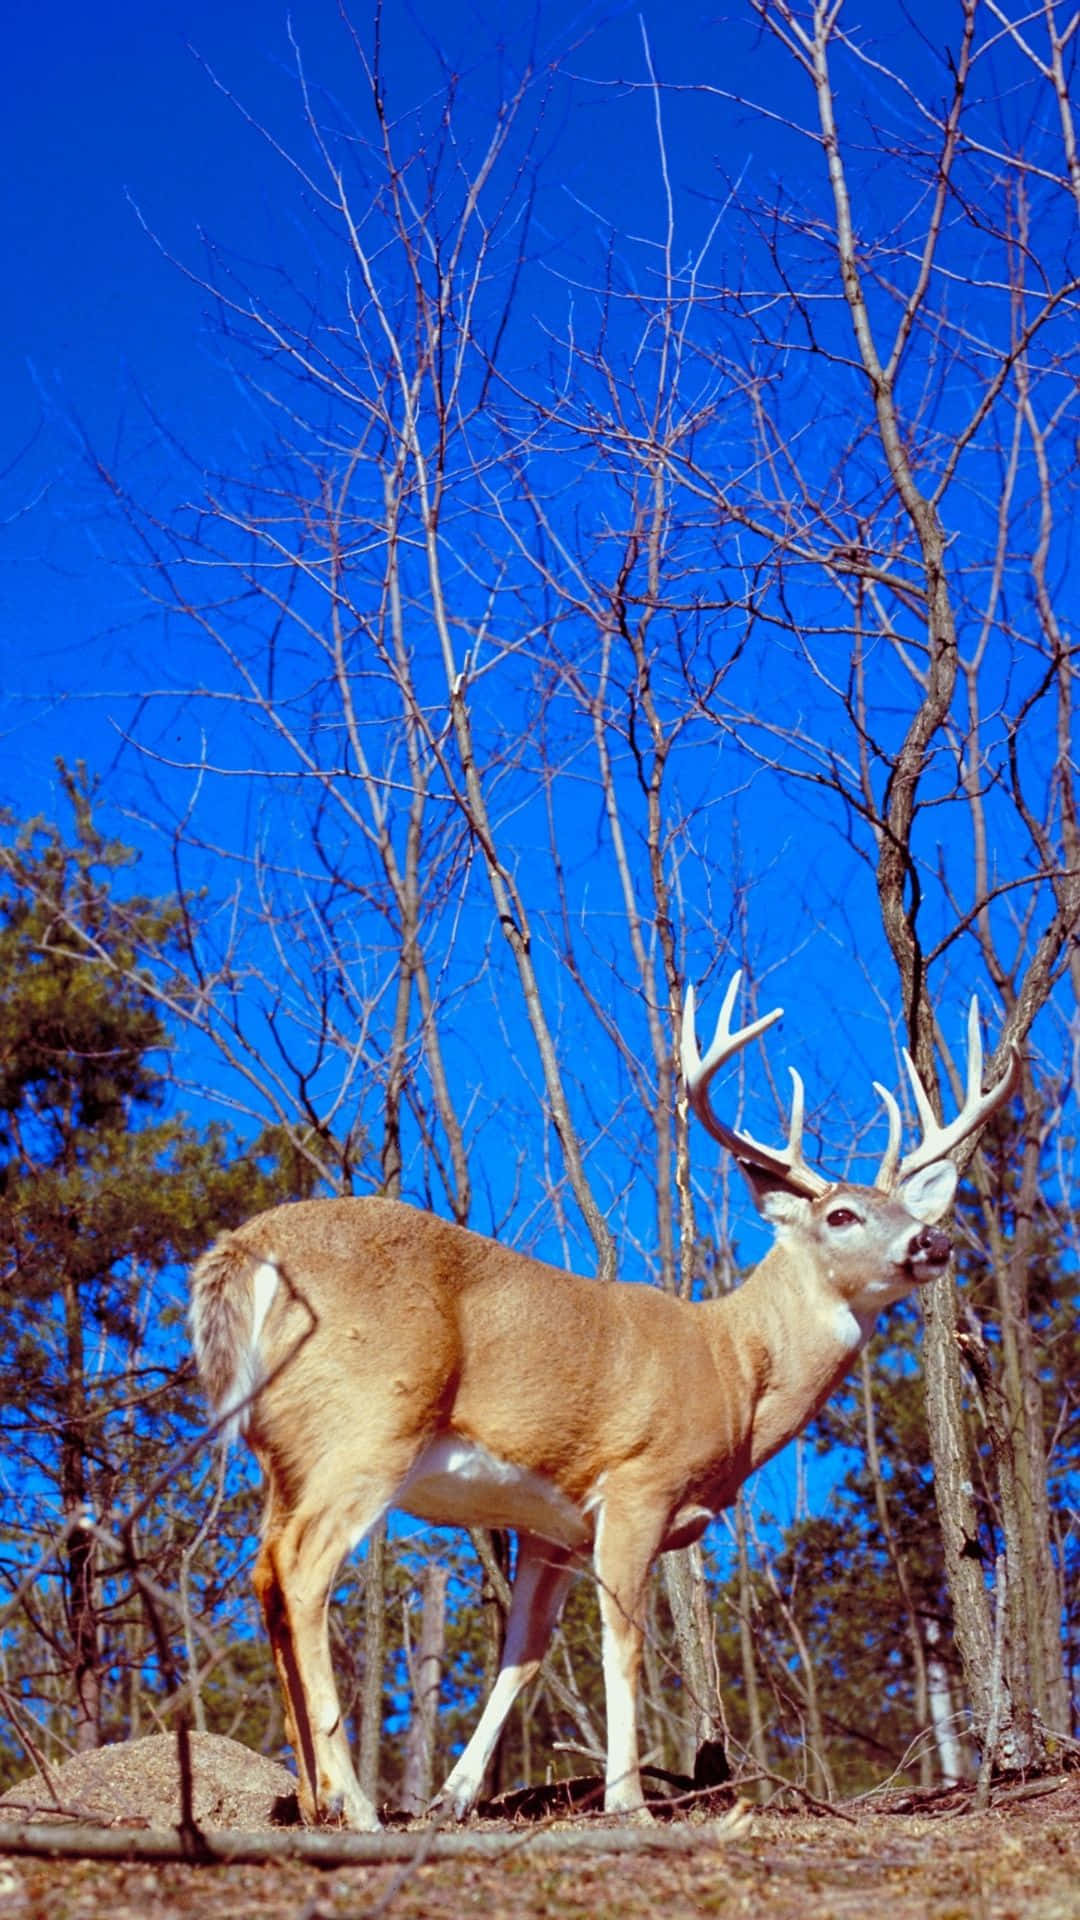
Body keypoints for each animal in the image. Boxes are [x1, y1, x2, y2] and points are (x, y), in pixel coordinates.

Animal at [189, 971, 1018, 1829]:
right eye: (841, 1215)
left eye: (913, 1211)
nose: (932, 1242)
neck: (732, 1366)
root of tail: (241, 1251)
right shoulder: (638, 1483)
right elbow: (626, 1641)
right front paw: (627, 1799)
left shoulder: (548, 1523)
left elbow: (522, 1654)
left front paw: (455, 1795)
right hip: (370, 1426)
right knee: (301, 1571)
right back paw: (355, 1803)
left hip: (286, 1452)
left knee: (264, 1574)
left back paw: (312, 1797)